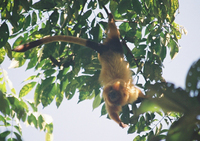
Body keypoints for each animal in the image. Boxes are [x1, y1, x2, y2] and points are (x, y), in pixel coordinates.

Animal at [12, 13, 147, 128]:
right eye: (110, 94)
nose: (112, 95)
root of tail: (103, 48)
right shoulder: (112, 99)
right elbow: (111, 111)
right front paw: (120, 122)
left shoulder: (129, 92)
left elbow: (138, 93)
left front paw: (145, 98)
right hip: (113, 46)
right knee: (115, 33)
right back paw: (111, 20)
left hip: (113, 45)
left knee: (114, 33)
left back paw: (111, 20)